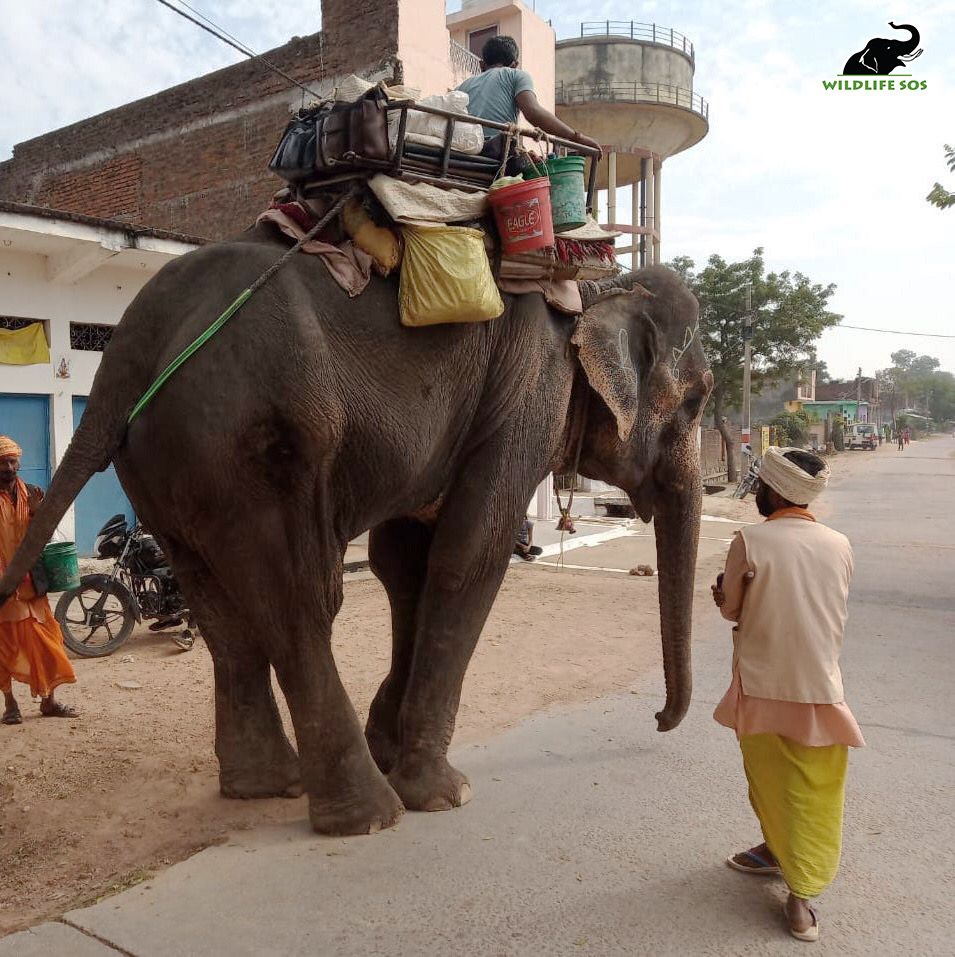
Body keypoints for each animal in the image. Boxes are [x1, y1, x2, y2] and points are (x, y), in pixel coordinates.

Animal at [0, 226, 712, 836]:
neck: (592, 286)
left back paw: (269, 786)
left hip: (168, 465)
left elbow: (405, 567)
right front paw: (443, 792)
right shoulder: (527, 392)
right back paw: (368, 814)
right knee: (303, 604)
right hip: (251, 445)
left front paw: (391, 748)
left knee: (222, 612)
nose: (658, 718)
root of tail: (127, 347)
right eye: (699, 398)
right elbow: (470, 554)